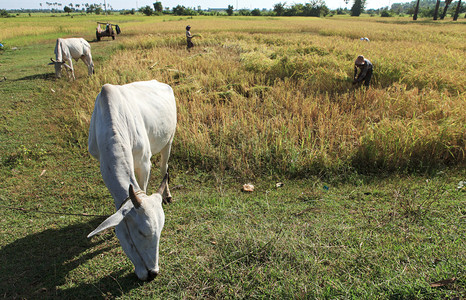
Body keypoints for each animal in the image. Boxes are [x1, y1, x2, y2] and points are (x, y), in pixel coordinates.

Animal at [87, 79, 177, 282]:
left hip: (169, 140)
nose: (152, 273)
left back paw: (167, 194)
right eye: (141, 232)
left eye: (160, 231)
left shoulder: (144, 163)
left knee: (164, 167)